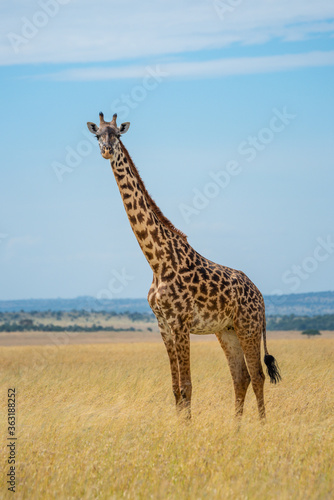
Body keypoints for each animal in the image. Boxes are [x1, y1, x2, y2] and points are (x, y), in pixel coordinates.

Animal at [87, 112, 280, 418]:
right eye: (97, 135)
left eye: (117, 134)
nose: (106, 150)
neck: (157, 262)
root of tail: (260, 296)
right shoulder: (163, 325)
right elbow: (175, 388)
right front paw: (179, 425)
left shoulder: (181, 322)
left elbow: (187, 386)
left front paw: (186, 427)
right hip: (227, 331)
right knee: (241, 377)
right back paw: (235, 426)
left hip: (248, 326)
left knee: (258, 375)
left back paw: (261, 425)